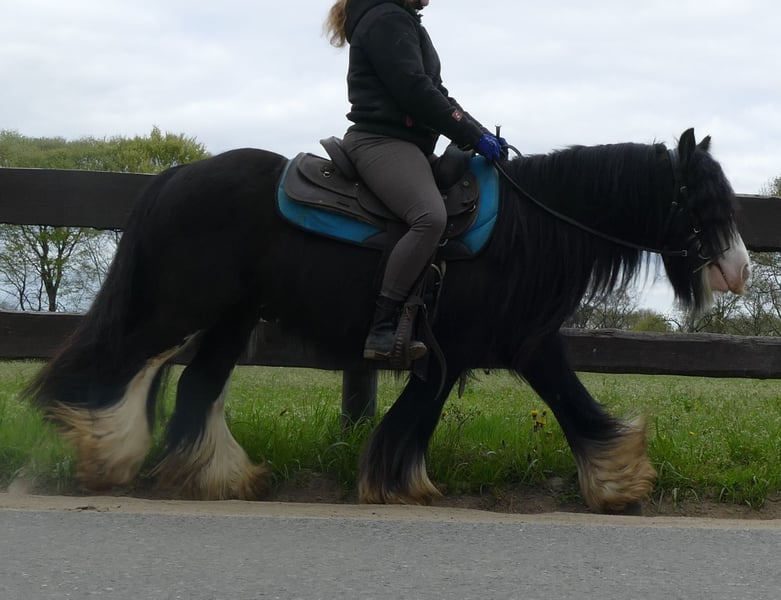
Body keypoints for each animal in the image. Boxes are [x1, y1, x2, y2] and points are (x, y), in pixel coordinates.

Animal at [24, 128, 750, 513]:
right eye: (701, 199)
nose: (738, 269)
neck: (528, 227)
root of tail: (175, 174)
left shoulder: (526, 343)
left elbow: (572, 404)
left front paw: (618, 480)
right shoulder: (453, 348)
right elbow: (416, 417)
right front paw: (397, 484)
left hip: (229, 318)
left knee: (196, 386)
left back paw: (220, 476)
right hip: (181, 307)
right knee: (125, 364)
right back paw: (105, 451)